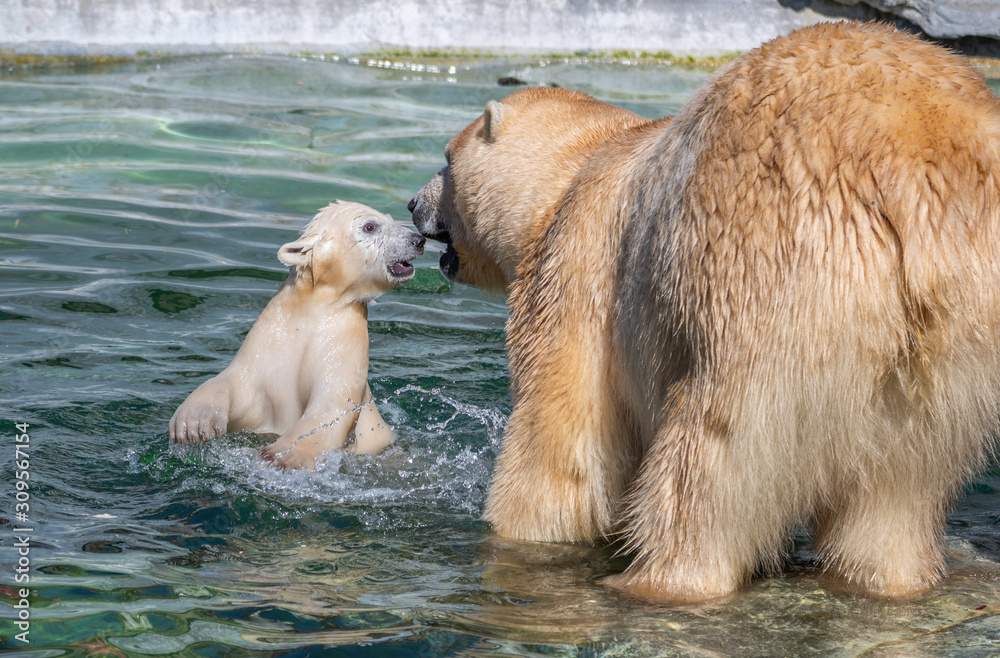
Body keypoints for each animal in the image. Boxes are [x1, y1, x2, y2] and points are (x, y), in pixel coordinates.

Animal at [170, 200, 425, 470]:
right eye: (370, 226)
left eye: (391, 218)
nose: (418, 240)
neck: (317, 307)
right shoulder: (269, 340)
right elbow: (236, 383)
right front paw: (193, 423)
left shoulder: (344, 342)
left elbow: (333, 405)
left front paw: (281, 454)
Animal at [410, 21, 1000, 603]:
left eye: (445, 160)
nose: (414, 205)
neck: (581, 167)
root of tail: (912, 176)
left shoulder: (576, 276)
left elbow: (562, 445)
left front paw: (519, 532)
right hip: (951, 353)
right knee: (900, 490)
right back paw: (893, 577)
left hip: (766, 287)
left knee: (713, 460)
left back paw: (660, 579)